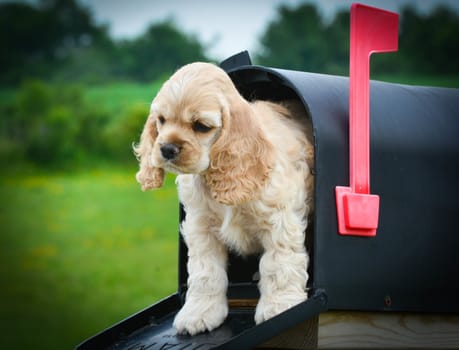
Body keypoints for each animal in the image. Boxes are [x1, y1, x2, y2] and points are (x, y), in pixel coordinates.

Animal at [131, 63, 314, 336]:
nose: (166, 149)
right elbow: (205, 273)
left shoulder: (279, 220)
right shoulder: (200, 227)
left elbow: (278, 264)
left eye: (201, 126)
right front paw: (199, 313)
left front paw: (279, 307)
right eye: (161, 120)